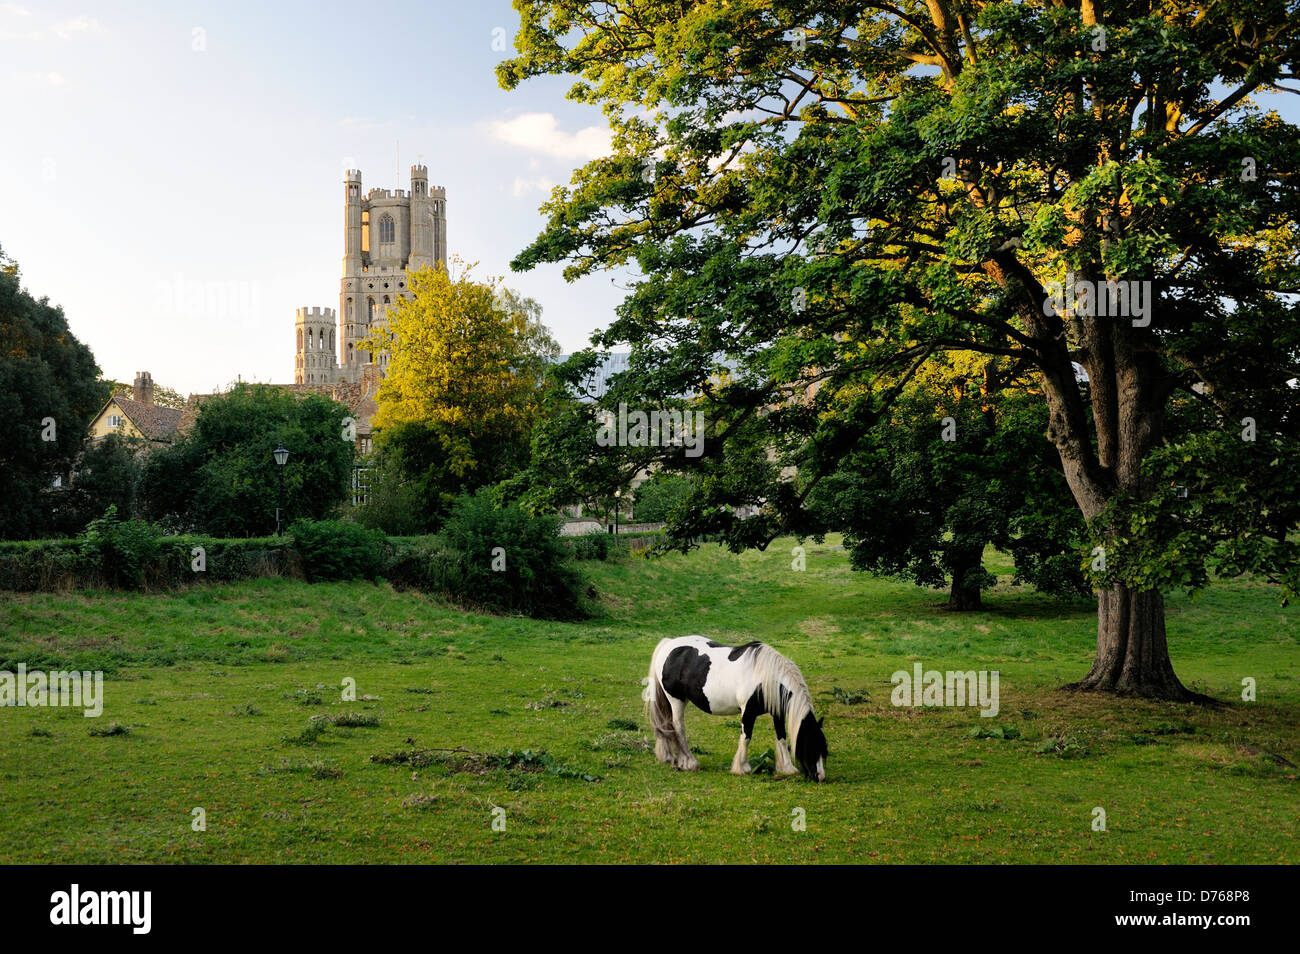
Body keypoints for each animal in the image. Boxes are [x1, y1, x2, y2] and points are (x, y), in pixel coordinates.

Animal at [644, 634, 826, 785]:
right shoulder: (748, 712)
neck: (765, 676)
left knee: (666, 726)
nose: (820, 777)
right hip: (676, 700)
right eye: (811, 745)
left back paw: (670, 757)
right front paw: (741, 767)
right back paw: (689, 762)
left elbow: (781, 737)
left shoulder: (777, 712)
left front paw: (787, 768)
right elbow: (746, 737)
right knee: (678, 728)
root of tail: (668, 644)